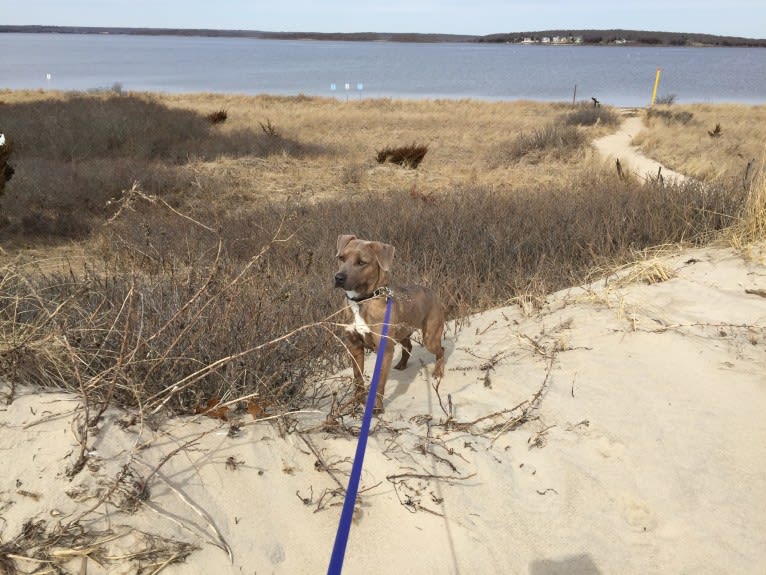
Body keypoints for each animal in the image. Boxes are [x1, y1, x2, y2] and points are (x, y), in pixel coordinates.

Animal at [332, 234, 448, 414]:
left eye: (362, 262)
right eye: (341, 258)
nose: (338, 278)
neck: (362, 301)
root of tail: (434, 293)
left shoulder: (384, 349)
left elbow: (379, 382)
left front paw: (376, 407)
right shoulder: (354, 346)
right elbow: (358, 379)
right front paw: (357, 402)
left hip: (430, 338)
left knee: (441, 350)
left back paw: (438, 372)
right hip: (401, 333)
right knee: (408, 346)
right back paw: (401, 364)